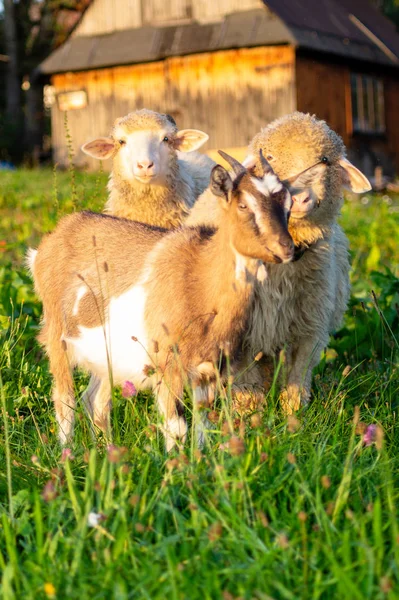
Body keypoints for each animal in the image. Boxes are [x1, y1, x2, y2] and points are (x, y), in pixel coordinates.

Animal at [29, 151, 324, 450]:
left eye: (287, 205)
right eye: (243, 204)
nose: (287, 248)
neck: (200, 278)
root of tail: (53, 239)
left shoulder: (208, 370)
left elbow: (204, 426)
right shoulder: (167, 365)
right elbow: (177, 428)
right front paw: (175, 463)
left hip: (106, 357)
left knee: (95, 402)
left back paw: (106, 450)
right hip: (56, 335)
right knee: (64, 399)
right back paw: (67, 452)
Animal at [188, 111, 372, 412]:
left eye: (325, 160)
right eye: (271, 157)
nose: (298, 198)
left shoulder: (310, 327)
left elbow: (298, 377)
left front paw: (294, 415)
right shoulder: (243, 332)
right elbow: (246, 381)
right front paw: (249, 414)